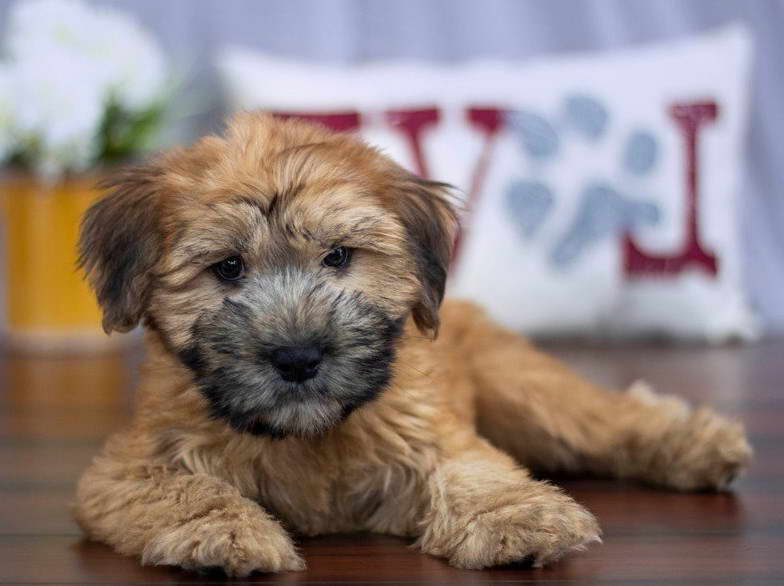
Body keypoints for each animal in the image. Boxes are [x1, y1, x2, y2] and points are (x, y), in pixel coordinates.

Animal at [75, 114, 752, 576]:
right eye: (228, 267)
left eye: (338, 256)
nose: (298, 358)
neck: (312, 439)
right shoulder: (127, 469)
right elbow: (183, 489)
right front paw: (224, 534)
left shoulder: (431, 429)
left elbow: (470, 468)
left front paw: (514, 518)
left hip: (527, 393)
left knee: (610, 418)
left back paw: (699, 445)